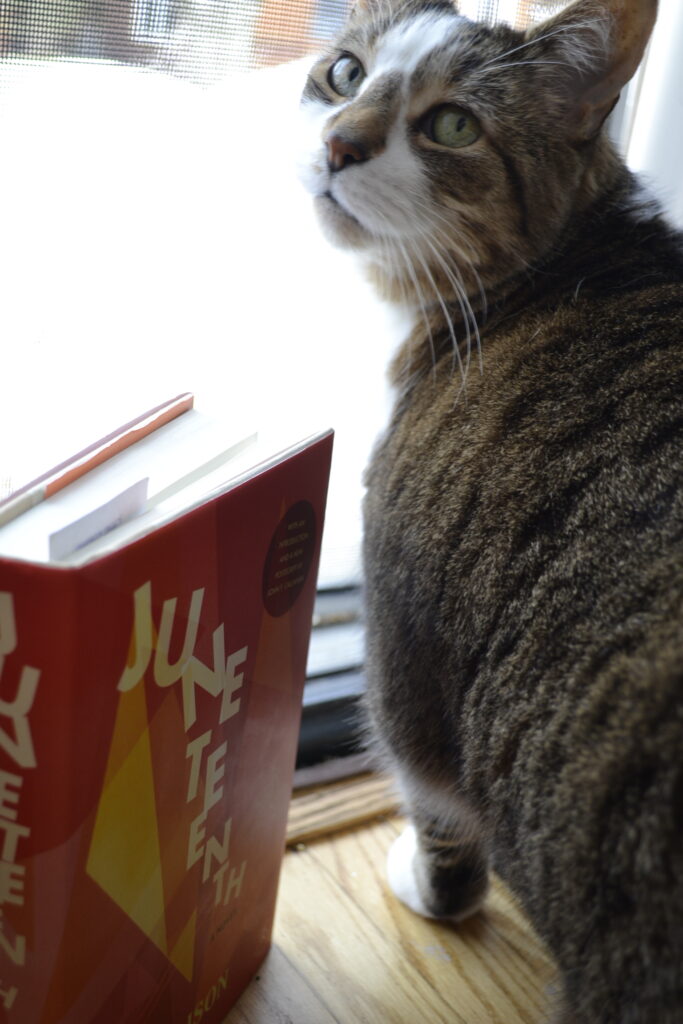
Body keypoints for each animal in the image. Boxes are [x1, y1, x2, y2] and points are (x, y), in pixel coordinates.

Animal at [299, 0, 683, 1019]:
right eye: (345, 74)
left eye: (452, 124)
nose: (338, 143)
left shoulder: (399, 675)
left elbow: (439, 821)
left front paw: (421, 882)